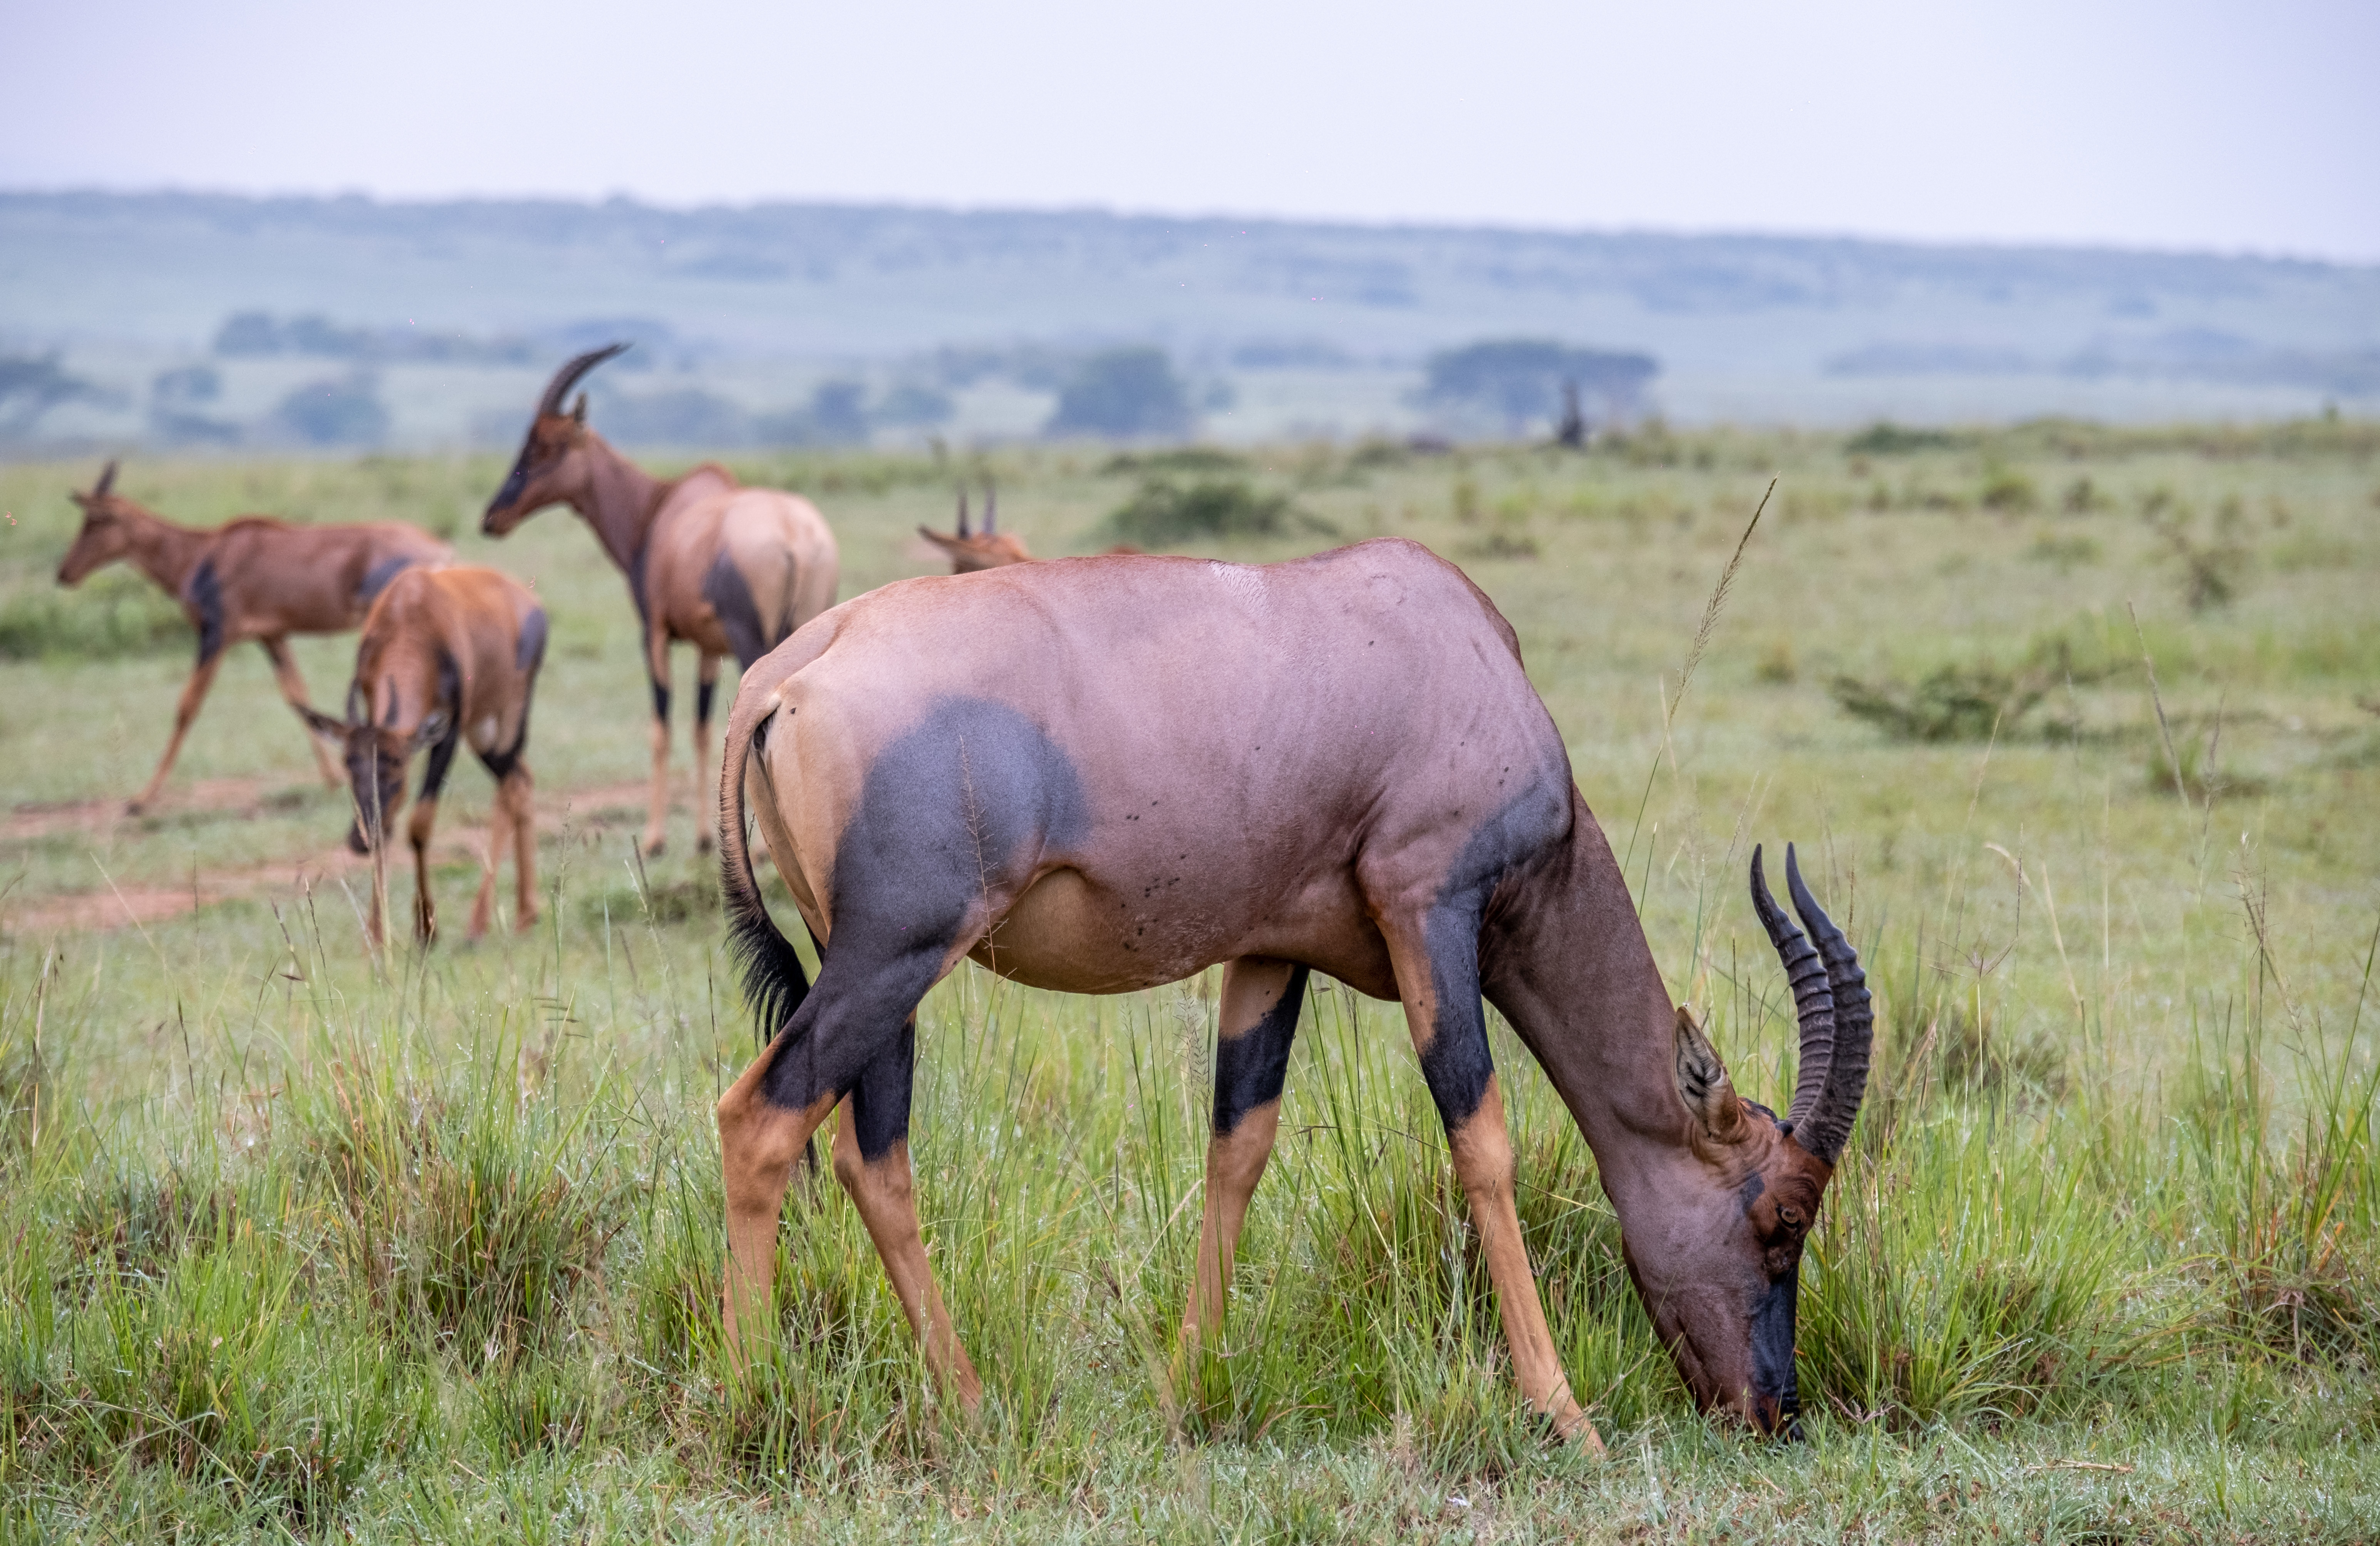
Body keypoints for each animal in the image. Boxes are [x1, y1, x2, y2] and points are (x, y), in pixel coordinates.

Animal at [56, 461, 452, 813]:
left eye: (96, 520)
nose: (64, 573)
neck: (207, 553)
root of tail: (440, 550)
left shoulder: (217, 634)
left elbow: (187, 706)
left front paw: (140, 800)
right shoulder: (272, 637)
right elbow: (297, 697)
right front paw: (334, 780)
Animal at [296, 565, 547, 948]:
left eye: (399, 765)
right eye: (348, 763)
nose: (359, 840)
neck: (412, 610)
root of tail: (527, 597)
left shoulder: (449, 732)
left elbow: (419, 825)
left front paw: (427, 930)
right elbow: (390, 830)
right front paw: (376, 935)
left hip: (508, 718)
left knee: (510, 789)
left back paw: (480, 926)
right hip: (483, 731)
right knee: (522, 780)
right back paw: (525, 915)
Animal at [481, 346, 839, 855]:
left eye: (546, 445)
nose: (492, 518)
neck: (659, 512)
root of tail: (797, 537)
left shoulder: (654, 633)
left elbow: (662, 727)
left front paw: (654, 840)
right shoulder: (709, 646)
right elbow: (704, 728)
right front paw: (706, 838)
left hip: (754, 640)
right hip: (811, 623)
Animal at [713, 538, 1872, 1445]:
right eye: (1779, 1217)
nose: (1771, 1411)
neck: (1452, 647)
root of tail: (791, 664)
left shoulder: (1272, 951)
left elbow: (1238, 1145)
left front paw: (1185, 1386)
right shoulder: (1427, 907)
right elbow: (1481, 1142)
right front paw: (1563, 1414)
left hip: (872, 958)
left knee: (873, 1156)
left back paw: (965, 1402)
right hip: (895, 949)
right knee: (759, 1117)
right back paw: (756, 1399)